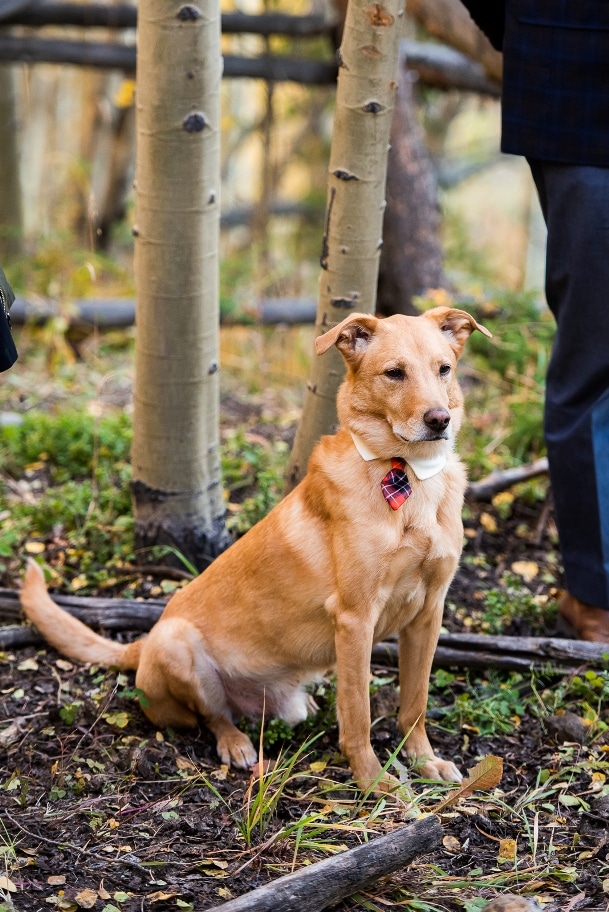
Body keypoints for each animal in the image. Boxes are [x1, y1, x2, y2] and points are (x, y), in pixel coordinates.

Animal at [19, 306, 490, 792]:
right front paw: (374, 782)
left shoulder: (429, 610)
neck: (412, 476)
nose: (439, 420)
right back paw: (236, 744)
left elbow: (415, 701)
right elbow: (357, 716)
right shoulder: (355, 618)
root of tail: (142, 646)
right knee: (212, 716)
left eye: (444, 369)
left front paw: (425, 762)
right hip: (177, 643)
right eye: (394, 373)